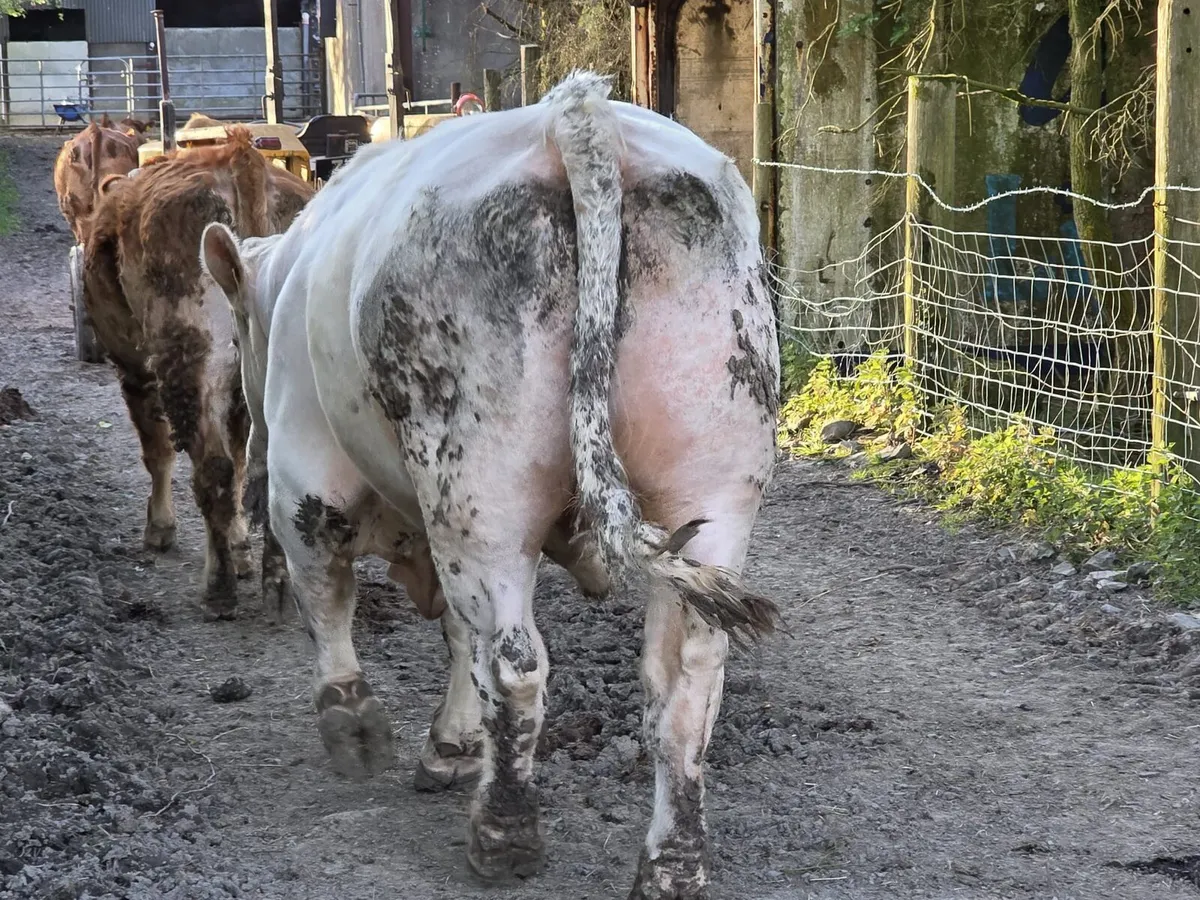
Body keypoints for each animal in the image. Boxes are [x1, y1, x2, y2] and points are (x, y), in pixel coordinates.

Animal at [84, 128, 314, 621]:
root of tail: (240, 158)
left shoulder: (135, 369)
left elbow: (157, 451)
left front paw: (160, 528)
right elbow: (244, 462)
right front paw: (243, 548)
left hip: (184, 357)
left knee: (211, 469)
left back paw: (218, 589)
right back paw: (276, 584)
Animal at [199, 72, 780, 898]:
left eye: (239, 329)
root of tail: (579, 116)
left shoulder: (308, 482)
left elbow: (331, 598)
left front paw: (354, 721)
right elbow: (453, 633)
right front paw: (452, 742)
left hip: (480, 490)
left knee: (515, 664)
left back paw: (503, 833)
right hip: (716, 475)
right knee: (687, 679)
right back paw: (673, 862)